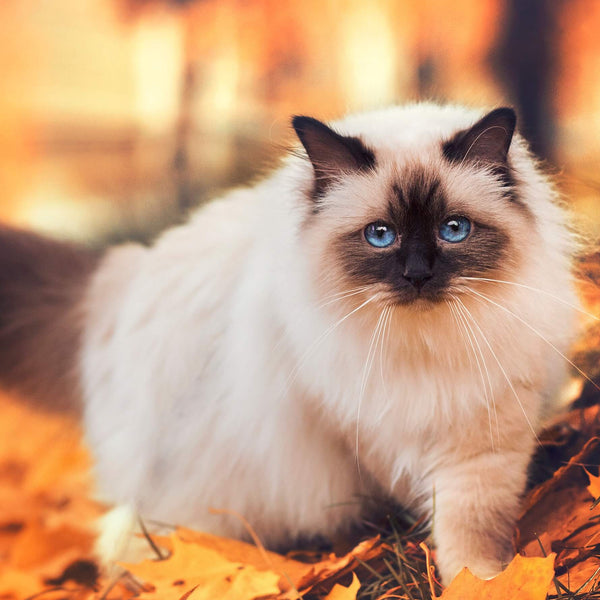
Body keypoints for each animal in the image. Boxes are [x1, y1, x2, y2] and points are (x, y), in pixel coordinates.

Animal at [0, 102, 580, 580]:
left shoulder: (483, 434)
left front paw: (481, 583)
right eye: (380, 235)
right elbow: (423, 504)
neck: (426, 347)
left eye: (453, 230)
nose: (417, 275)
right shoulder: (366, 429)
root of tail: (120, 281)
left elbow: (472, 529)